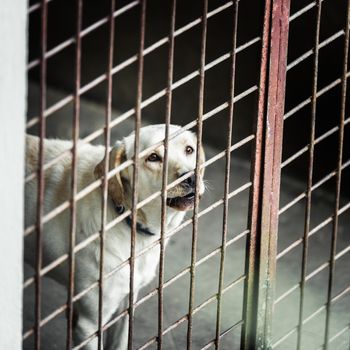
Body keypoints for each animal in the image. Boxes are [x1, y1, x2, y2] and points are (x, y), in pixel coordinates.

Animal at [25, 124, 205, 348]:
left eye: (189, 150)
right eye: (153, 157)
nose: (191, 177)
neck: (127, 220)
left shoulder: (126, 305)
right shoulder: (88, 325)